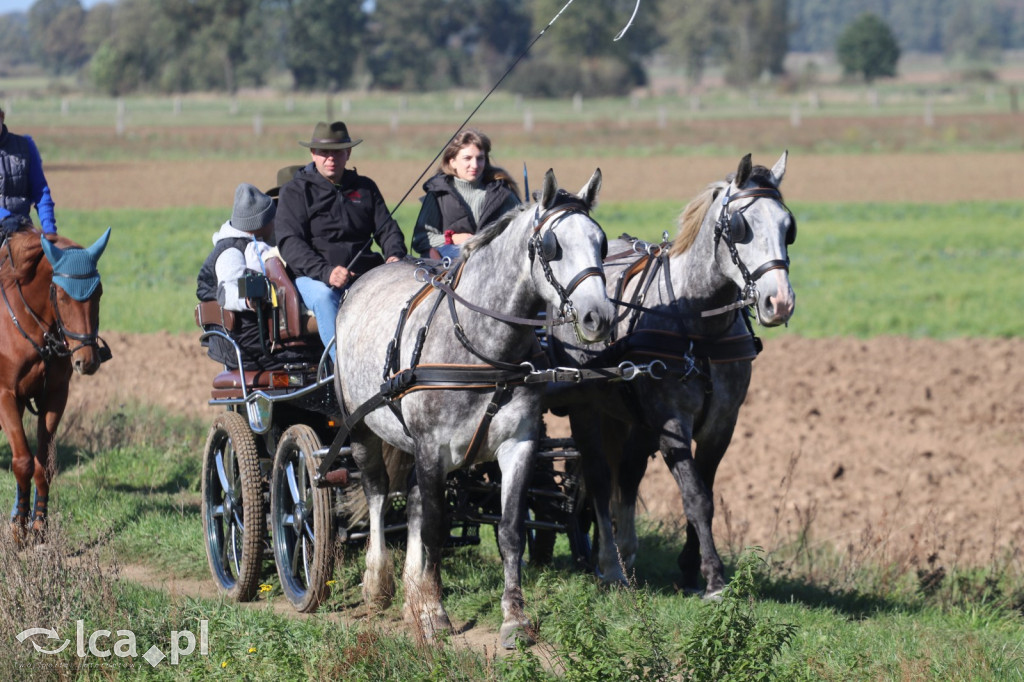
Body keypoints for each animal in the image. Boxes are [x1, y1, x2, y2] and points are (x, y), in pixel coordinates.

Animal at [0, 223, 111, 540]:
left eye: (98, 292)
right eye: (61, 295)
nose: (87, 360)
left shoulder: (55, 396)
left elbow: (43, 464)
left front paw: (37, 523)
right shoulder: (5, 395)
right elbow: (23, 461)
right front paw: (18, 529)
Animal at [335, 166, 610, 647]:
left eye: (602, 241)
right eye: (552, 246)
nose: (599, 316)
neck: (481, 349)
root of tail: (365, 279)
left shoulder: (519, 444)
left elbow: (510, 530)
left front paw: (514, 617)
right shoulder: (431, 449)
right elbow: (434, 529)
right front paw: (433, 614)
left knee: (410, 501)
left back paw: (412, 588)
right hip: (362, 430)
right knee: (377, 495)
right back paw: (378, 584)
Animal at [548, 152, 794, 593]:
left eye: (788, 226)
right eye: (741, 227)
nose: (779, 302)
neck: (698, 327)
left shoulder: (722, 423)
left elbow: (705, 490)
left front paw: (691, 566)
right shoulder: (671, 420)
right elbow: (694, 494)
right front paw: (714, 576)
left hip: (629, 416)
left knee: (627, 473)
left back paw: (624, 552)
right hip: (587, 407)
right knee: (598, 476)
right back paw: (607, 561)